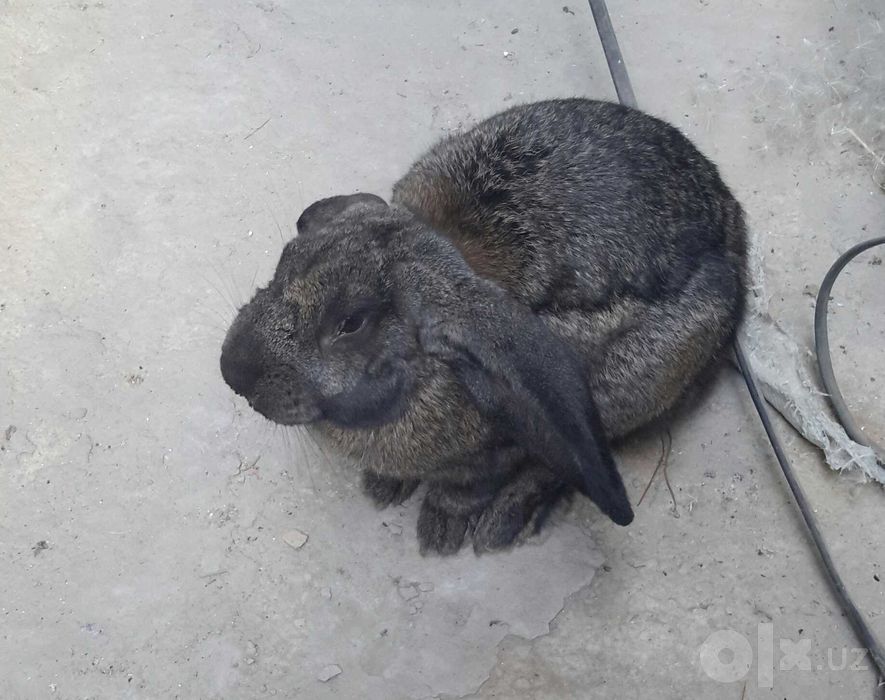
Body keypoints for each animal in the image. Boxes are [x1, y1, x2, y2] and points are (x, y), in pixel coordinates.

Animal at [220, 98, 747, 555]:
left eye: (351, 322)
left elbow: (472, 483)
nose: (232, 372)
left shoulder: (500, 446)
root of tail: (732, 223)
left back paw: (503, 522)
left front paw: (440, 528)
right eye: (285, 260)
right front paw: (385, 485)